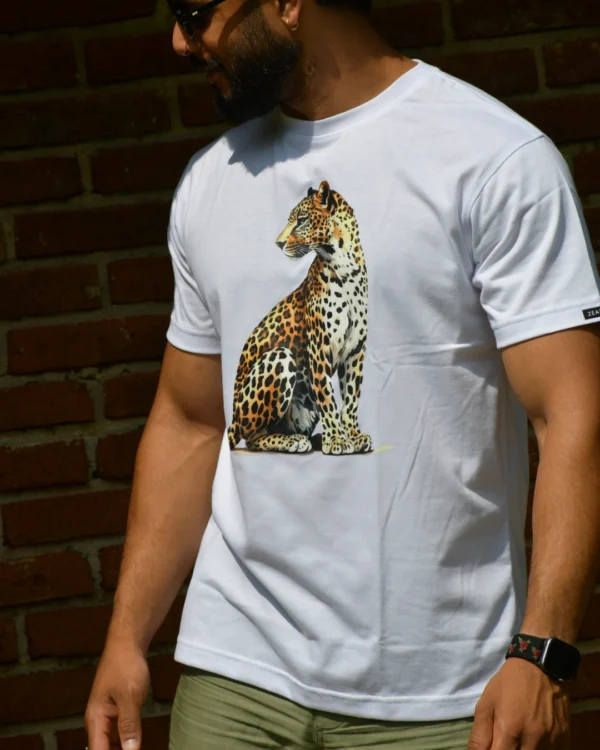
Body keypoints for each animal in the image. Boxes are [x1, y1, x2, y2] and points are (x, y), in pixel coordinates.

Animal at [227, 180, 372, 456]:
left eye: (302, 220)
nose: (278, 243)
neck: (346, 266)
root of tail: (231, 420)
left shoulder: (355, 350)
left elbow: (351, 397)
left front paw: (352, 435)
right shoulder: (319, 347)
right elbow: (327, 396)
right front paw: (336, 440)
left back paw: (313, 438)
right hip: (279, 358)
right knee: (252, 438)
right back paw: (294, 441)